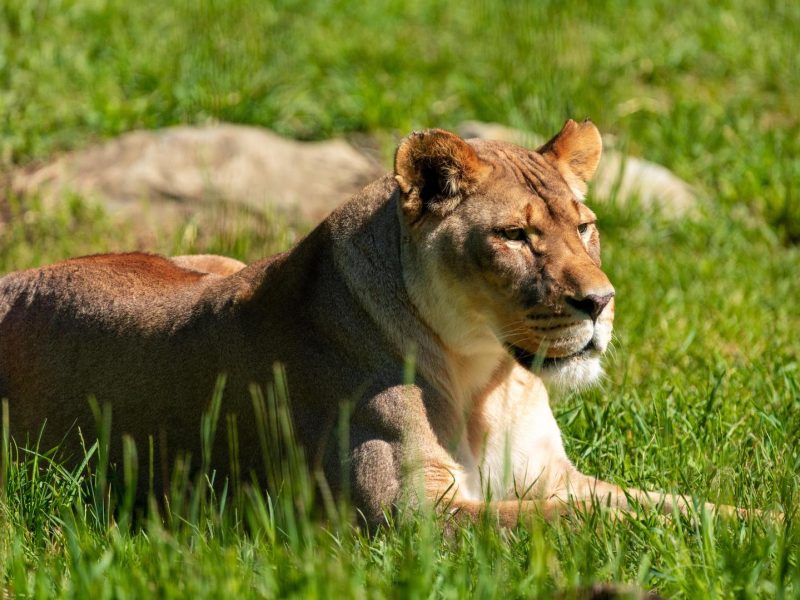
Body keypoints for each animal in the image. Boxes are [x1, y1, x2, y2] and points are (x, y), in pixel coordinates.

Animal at [0, 120, 750, 526]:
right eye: (514, 236)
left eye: (585, 227)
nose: (600, 302)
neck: (488, 378)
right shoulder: (407, 517)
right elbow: (580, 522)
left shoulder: (553, 476)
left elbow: (674, 505)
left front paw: (759, 526)